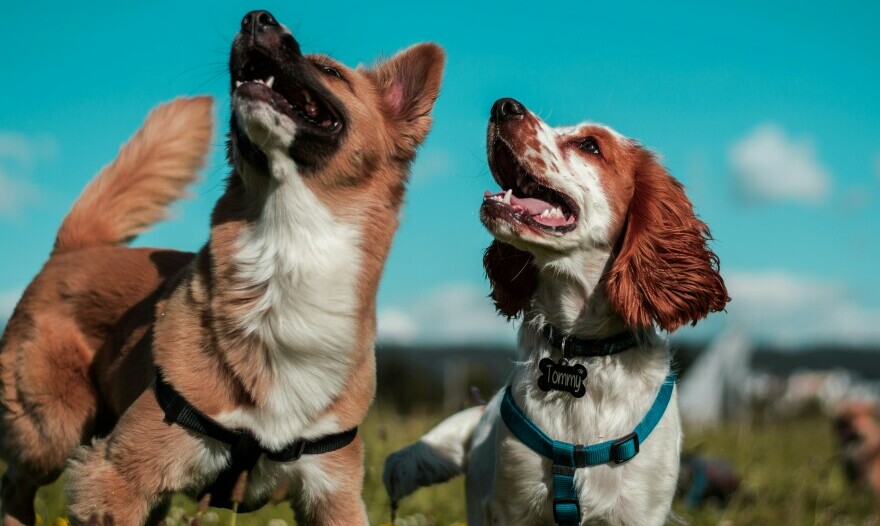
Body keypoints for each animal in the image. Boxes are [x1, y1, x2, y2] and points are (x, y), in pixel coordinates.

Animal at [0, 10, 444, 524]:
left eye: (329, 71)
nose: (256, 17)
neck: (287, 250)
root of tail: (75, 248)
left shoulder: (335, 494)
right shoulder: (115, 474)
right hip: (52, 431)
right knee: (16, 482)